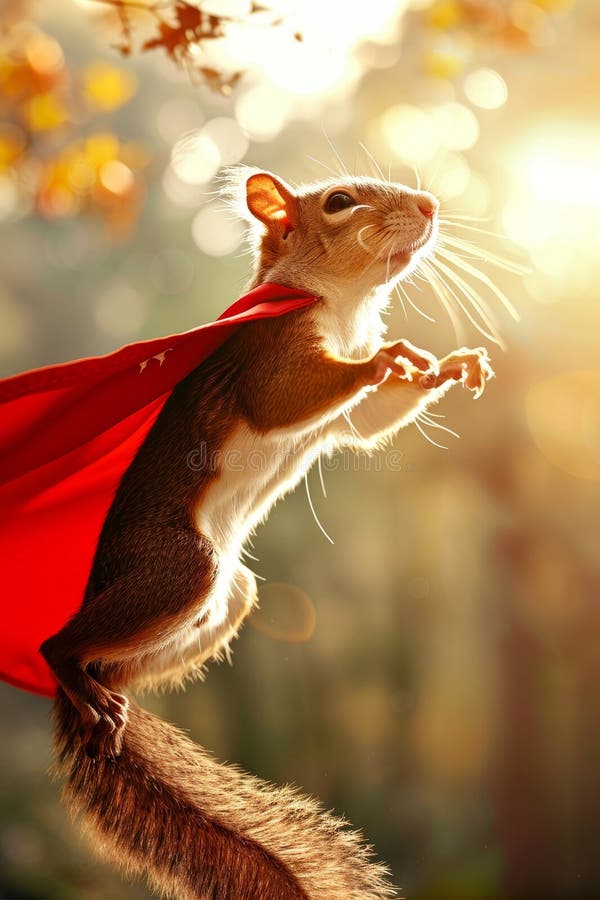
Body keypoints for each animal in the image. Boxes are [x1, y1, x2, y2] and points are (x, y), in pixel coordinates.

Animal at [39, 169, 494, 899]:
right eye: (339, 203)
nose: (429, 206)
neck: (344, 309)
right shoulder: (269, 353)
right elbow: (286, 397)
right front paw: (390, 357)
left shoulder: (345, 414)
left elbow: (368, 422)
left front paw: (451, 365)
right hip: (177, 567)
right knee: (62, 645)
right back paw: (75, 675)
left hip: (228, 599)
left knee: (117, 663)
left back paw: (109, 697)